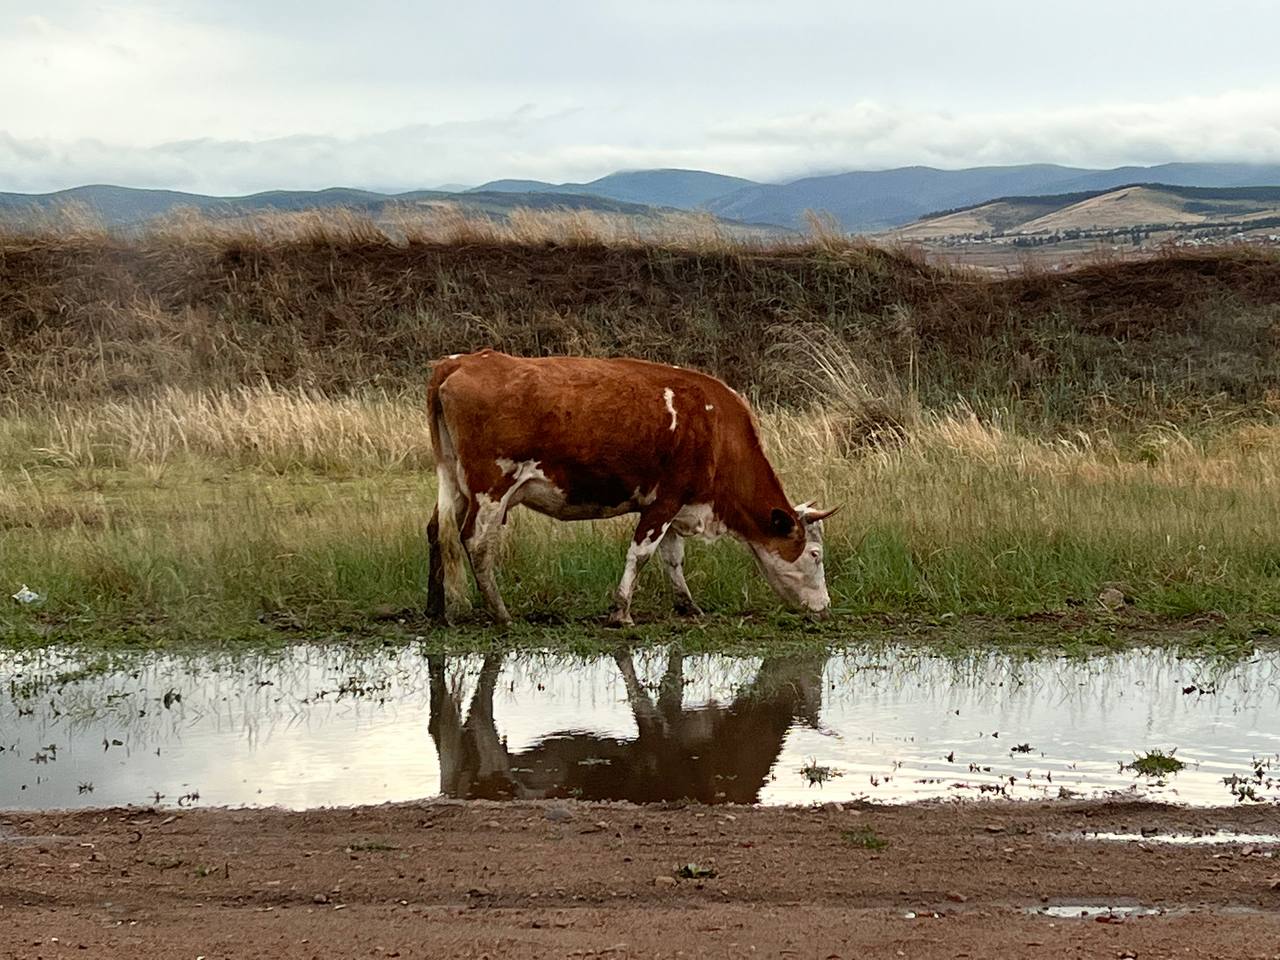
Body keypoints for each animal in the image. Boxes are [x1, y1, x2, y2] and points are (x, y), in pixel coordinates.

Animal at [424, 350, 834, 627]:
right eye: (815, 554)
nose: (826, 606)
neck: (716, 429)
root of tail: (460, 362)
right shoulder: (665, 500)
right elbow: (641, 555)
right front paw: (621, 611)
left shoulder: (676, 505)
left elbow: (673, 557)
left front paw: (687, 605)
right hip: (491, 486)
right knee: (475, 541)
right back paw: (500, 613)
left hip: (454, 482)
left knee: (437, 532)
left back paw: (436, 608)